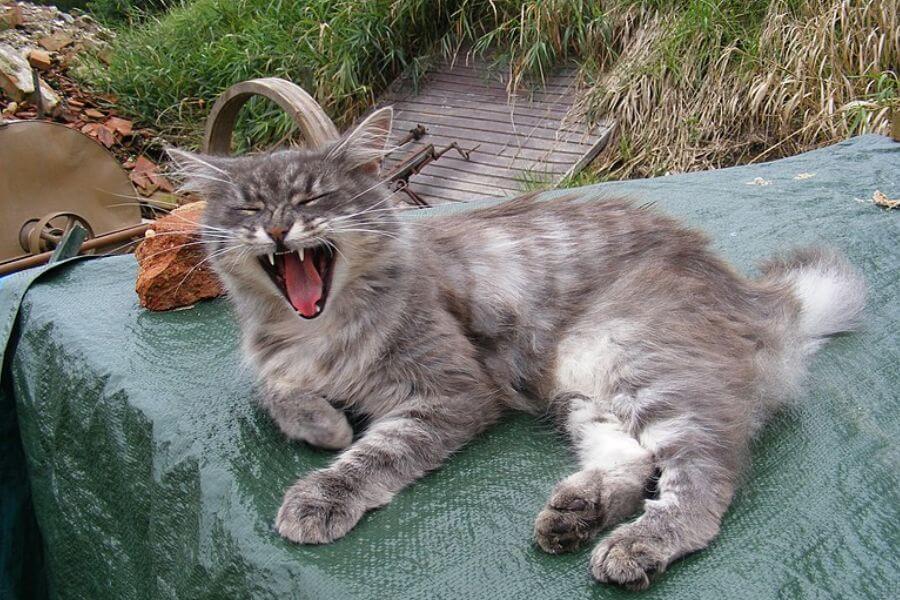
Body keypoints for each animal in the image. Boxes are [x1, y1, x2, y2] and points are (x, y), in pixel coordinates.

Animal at [169, 108, 864, 592]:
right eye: (248, 208)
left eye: (312, 197)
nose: (278, 228)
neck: (319, 327)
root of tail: (754, 294)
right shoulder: (278, 365)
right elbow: (275, 392)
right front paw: (324, 422)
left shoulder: (450, 391)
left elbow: (373, 454)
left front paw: (322, 490)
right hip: (582, 389)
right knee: (633, 462)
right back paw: (576, 513)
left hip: (640, 364)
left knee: (701, 483)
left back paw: (634, 545)